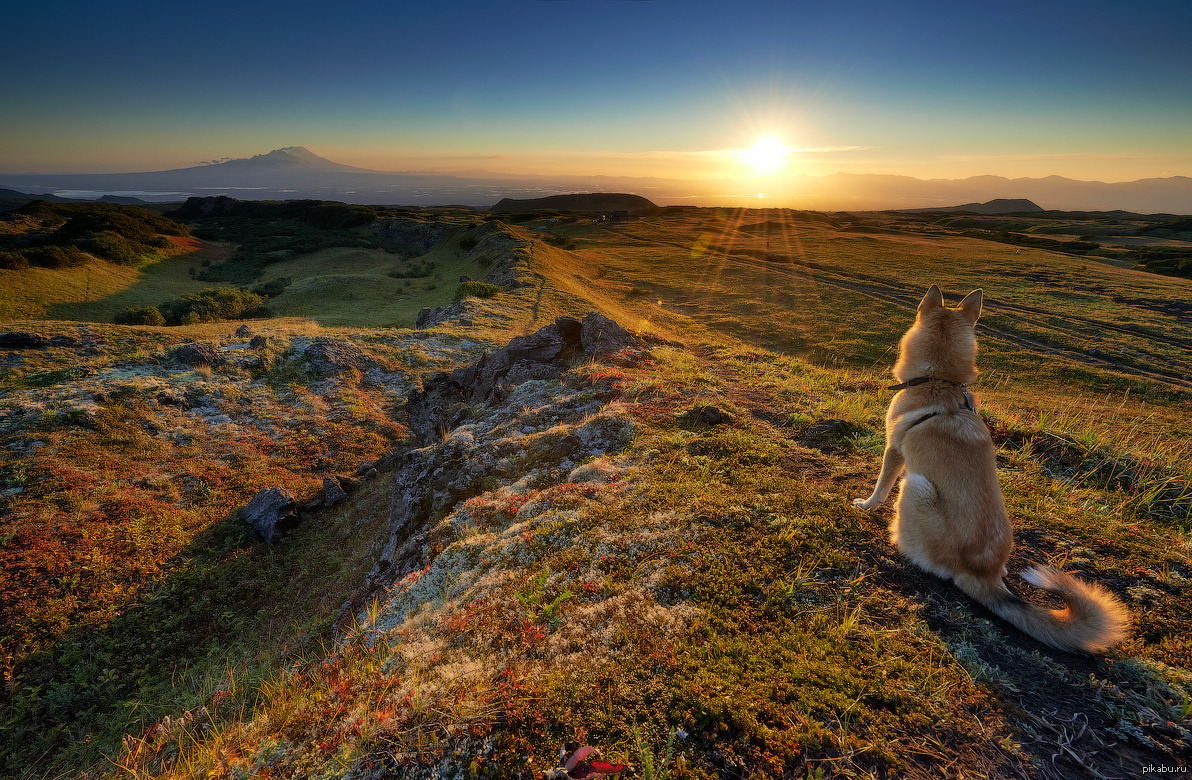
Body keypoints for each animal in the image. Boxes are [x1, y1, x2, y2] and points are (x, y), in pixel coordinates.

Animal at [858, 287, 1125, 653]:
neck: (941, 381)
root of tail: (984, 574)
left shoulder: (895, 452)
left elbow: (881, 485)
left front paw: (867, 504)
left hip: (916, 485)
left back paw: (896, 539)